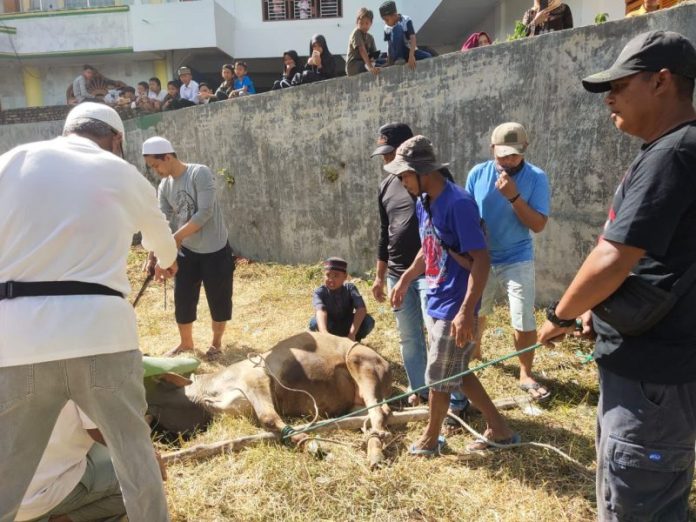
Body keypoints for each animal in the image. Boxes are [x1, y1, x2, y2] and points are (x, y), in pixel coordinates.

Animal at [144, 332, 394, 466]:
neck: (208, 394)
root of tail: (384, 361)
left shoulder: (256, 379)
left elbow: (268, 418)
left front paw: (311, 444)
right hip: (356, 402)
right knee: (376, 416)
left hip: (360, 363)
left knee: (379, 411)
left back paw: (375, 454)